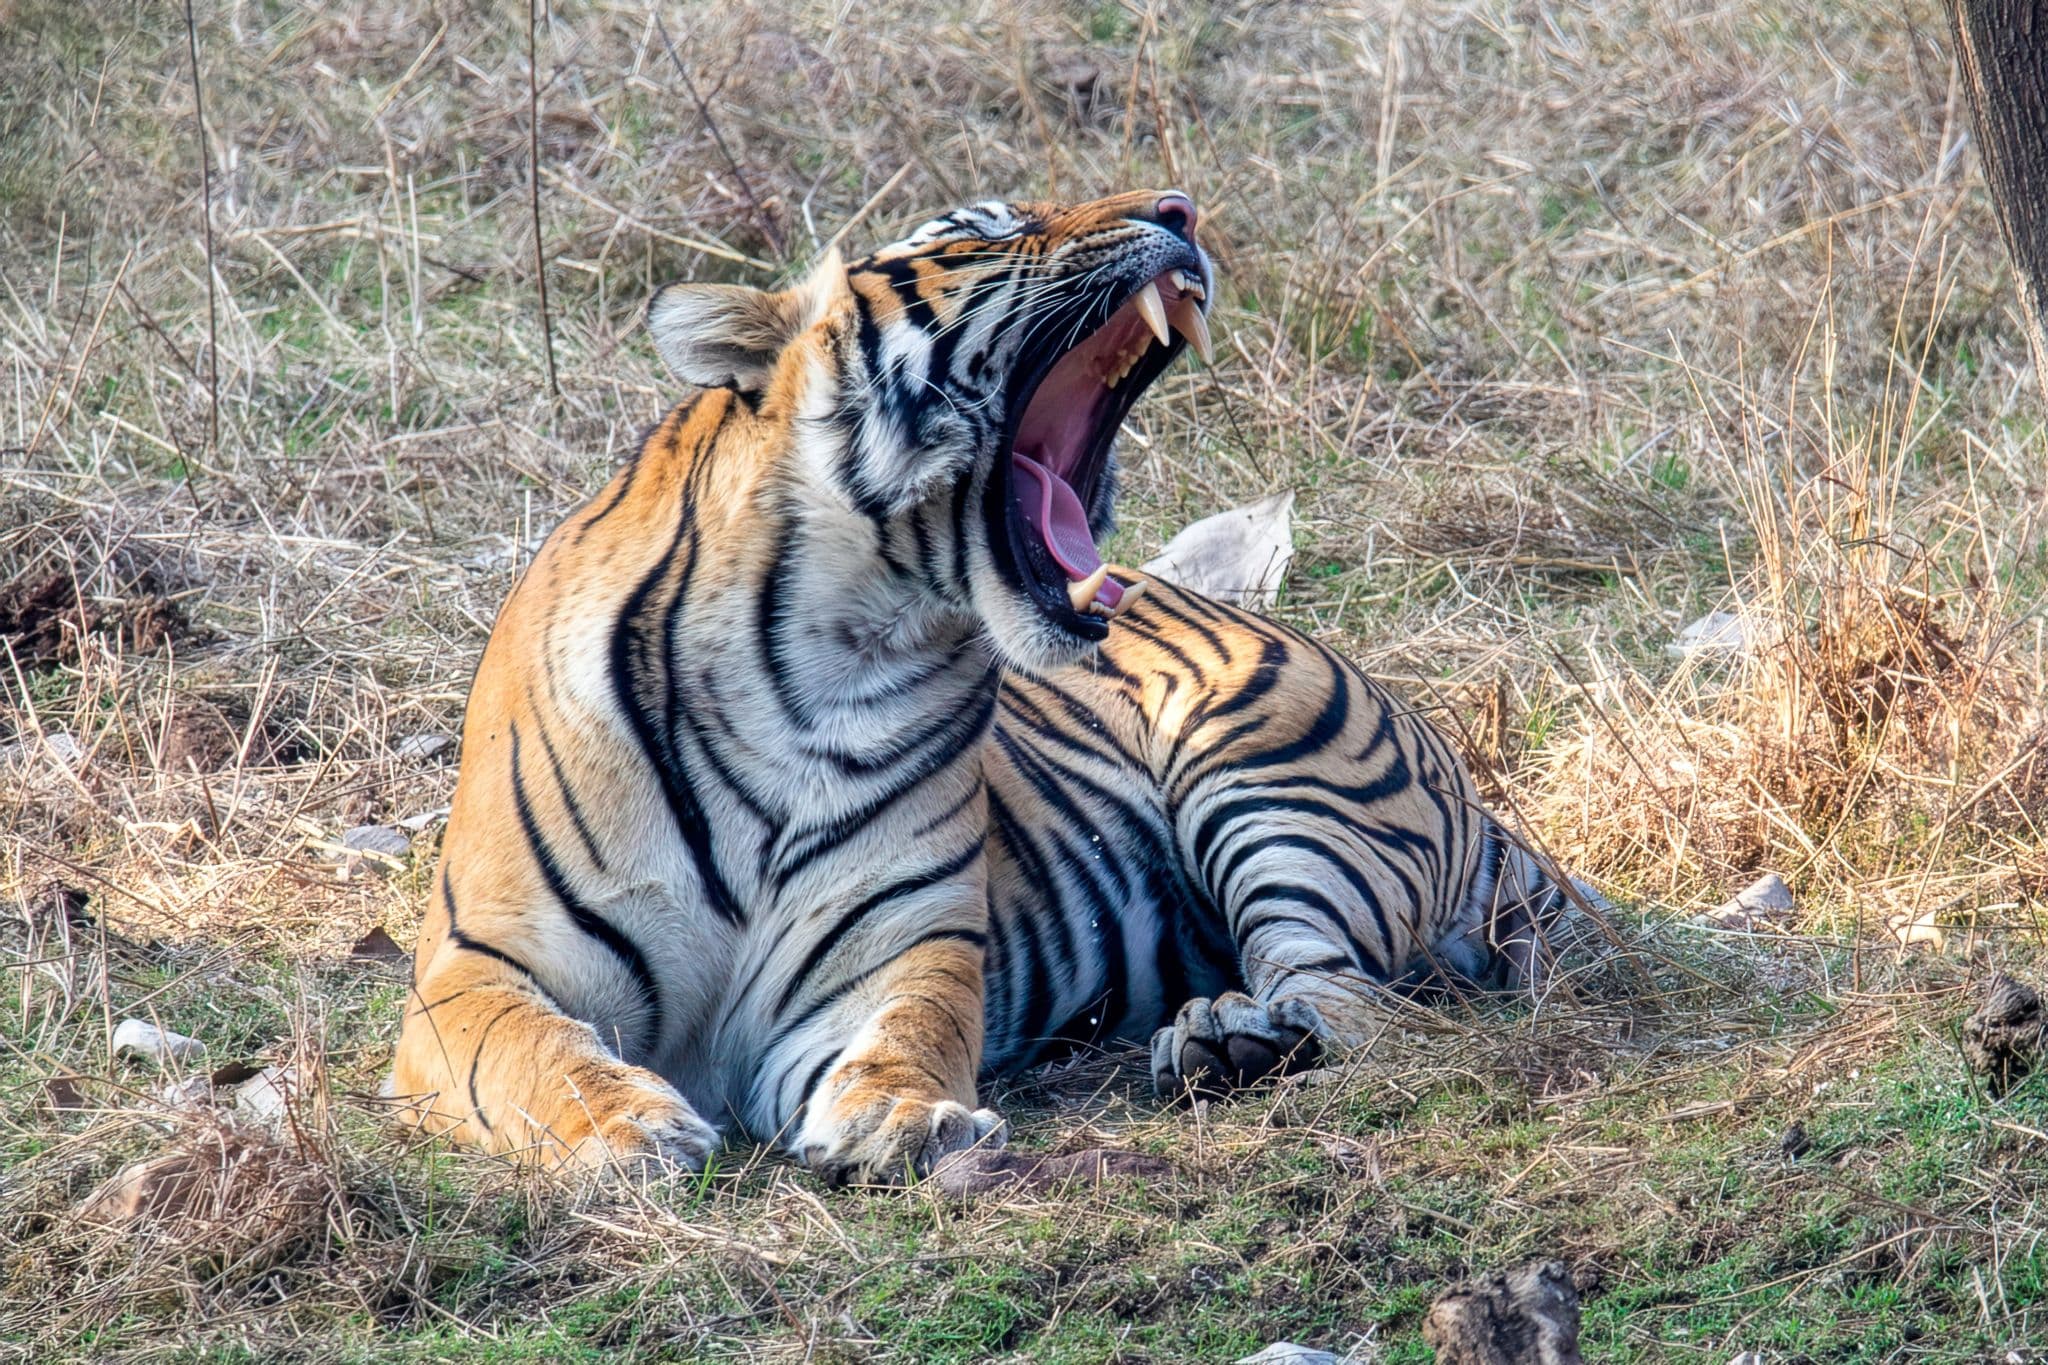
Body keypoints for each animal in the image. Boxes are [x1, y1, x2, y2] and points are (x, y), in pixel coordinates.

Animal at [387, 189, 1586, 1185]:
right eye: (978, 229)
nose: (1180, 208)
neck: (822, 663)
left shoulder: (894, 949)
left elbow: (910, 1033)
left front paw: (904, 1118)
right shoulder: (477, 967)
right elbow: (531, 1052)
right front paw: (625, 1126)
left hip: (1267, 786)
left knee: (1365, 1006)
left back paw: (1232, 1038)